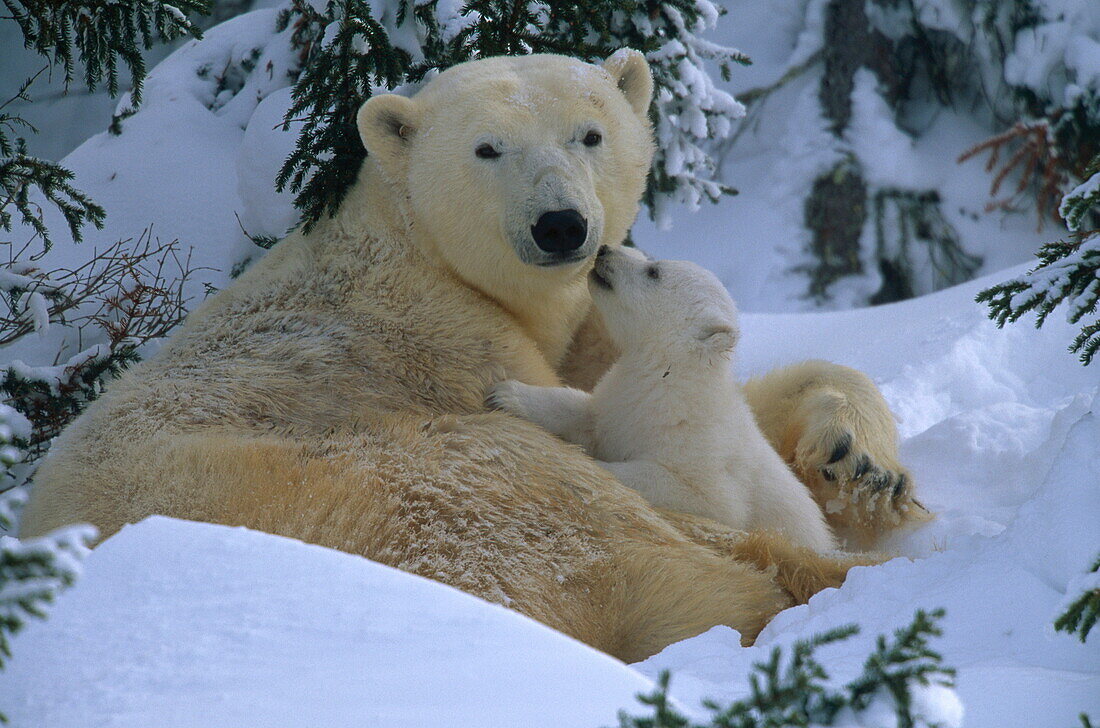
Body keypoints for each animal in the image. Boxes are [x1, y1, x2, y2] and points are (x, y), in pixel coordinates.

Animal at [490, 246, 831, 554]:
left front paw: (593, 466)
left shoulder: (704, 452)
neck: (670, 381)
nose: (605, 250)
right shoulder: (621, 401)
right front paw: (505, 393)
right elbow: (587, 413)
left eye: (654, 271)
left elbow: (703, 497)